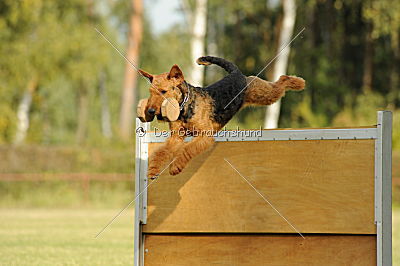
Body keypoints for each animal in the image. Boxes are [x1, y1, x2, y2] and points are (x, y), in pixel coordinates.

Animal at [139, 55, 304, 177]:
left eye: (163, 91)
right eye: (150, 92)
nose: (150, 111)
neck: (185, 105)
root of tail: (236, 72)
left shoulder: (205, 135)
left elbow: (187, 150)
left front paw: (175, 167)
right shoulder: (176, 137)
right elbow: (163, 151)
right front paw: (153, 171)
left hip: (263, 93)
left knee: (281, 81)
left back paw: (298, 82)